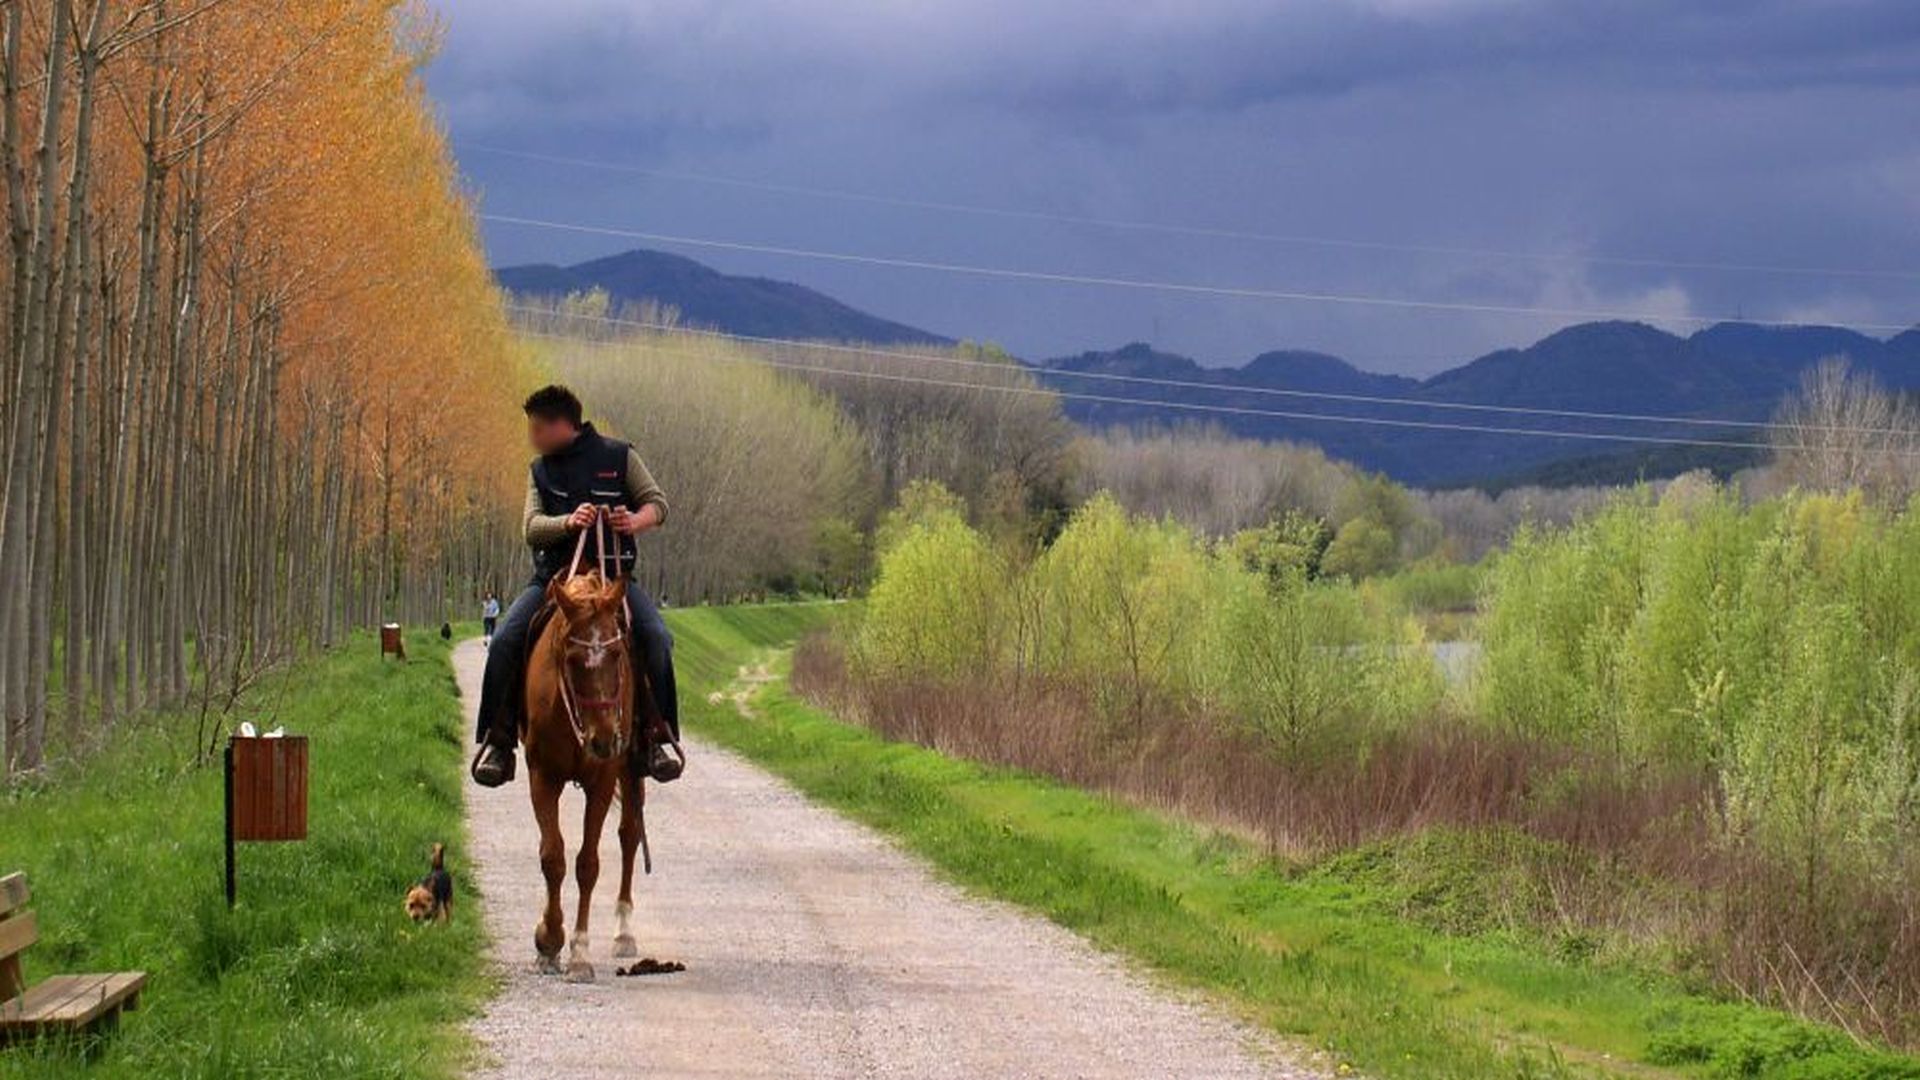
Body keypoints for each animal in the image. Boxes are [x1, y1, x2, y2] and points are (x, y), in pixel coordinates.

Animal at [522, 568, 648, 980]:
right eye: (573, 658)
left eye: (617, 653)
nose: (604, 740)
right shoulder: (542, 776)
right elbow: (553, 857)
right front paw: (548, 941)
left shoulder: (602, 780)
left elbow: (587, 864)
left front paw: (579, 953)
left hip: (631, 770)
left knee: (630, 835)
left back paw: (624, 932)